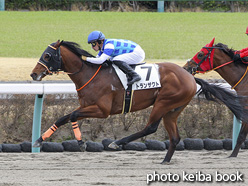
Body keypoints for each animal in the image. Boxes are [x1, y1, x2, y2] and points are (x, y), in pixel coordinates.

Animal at [30, 40, 244, 163]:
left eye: (47, 55)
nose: (34, 74)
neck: (89, 74)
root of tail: (190, 76)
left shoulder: (101, 110)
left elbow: (72, 115)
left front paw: (81, 143)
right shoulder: (86, 106)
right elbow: (63, 118)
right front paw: (39, 140)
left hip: (163, 102)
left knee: (150, 127)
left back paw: (117, 142)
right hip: (174, 109)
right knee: (174, 137)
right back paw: (165, 161)